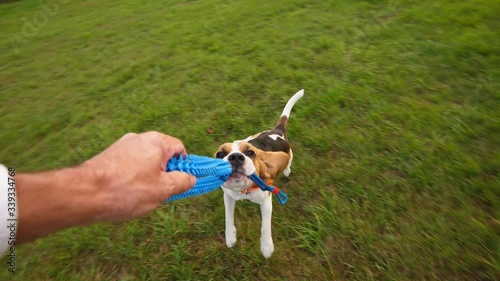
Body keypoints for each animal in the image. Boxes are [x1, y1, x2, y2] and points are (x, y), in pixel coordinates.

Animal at [213, 88, 302, 258]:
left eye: (250, 153)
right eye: (220, 154)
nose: (235, 157)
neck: (243, 190)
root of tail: (276, 131)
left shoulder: (266, 202)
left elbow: (265, 226)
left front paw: (266, 247)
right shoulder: (228, 196)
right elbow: (228, 217)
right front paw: (230, 236)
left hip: (288, 152)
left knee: (289, 159)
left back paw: (286, 169)